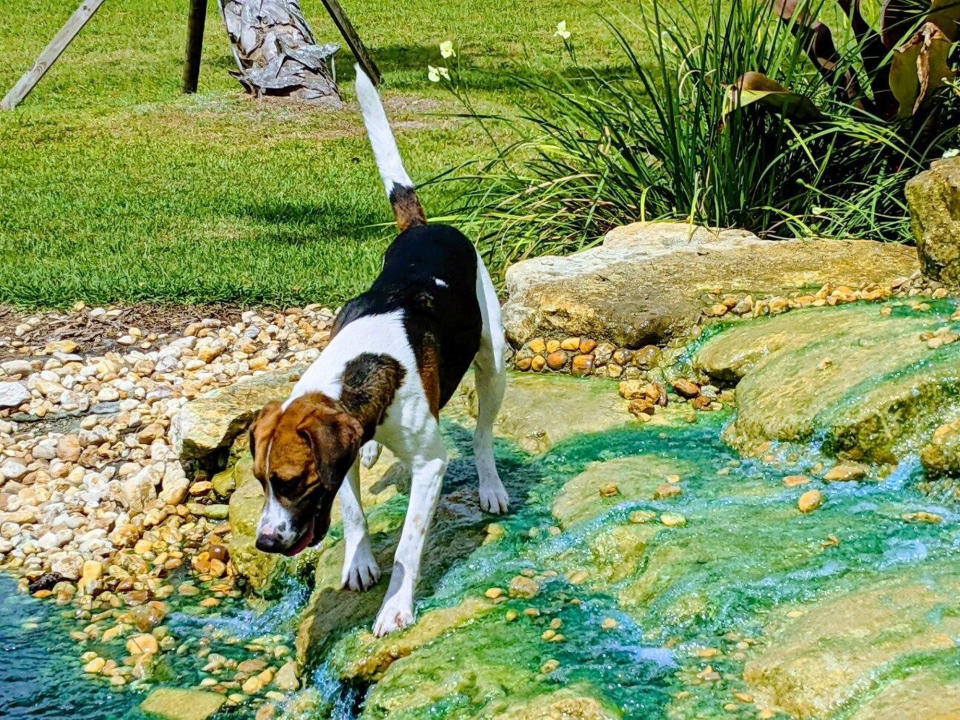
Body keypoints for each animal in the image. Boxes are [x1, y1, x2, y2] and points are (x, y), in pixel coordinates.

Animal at [248, 64, 510, 632]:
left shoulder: (430, 464)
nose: (264, 542)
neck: (355, 370)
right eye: (260, 481)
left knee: (482, 436)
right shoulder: (341, 451)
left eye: (292, 482)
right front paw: (359, 560)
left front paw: (395, 605)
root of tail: (426, 227)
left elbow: (409, 545)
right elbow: (352, 511)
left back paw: (490, 485)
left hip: (494, 363)